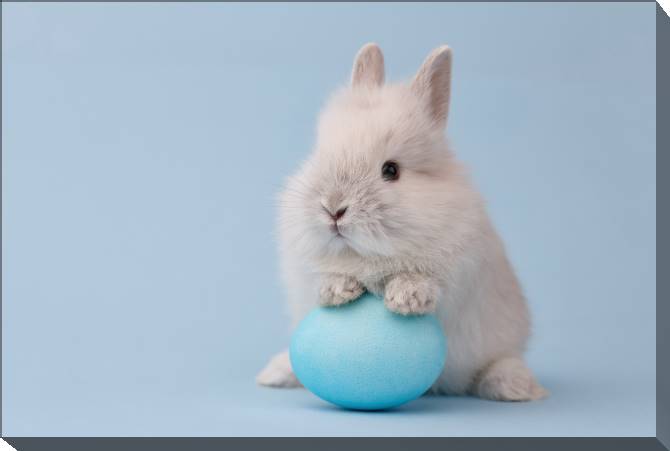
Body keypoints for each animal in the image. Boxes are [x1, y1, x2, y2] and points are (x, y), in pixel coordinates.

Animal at [256, 43, 547, 401]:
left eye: (391, 170)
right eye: (320, 155)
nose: (333, 209)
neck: (367, 257)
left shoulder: (459, 273)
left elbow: (426, 283)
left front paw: (406, 298)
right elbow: (324, 279)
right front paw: (338, 289)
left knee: (494, 365)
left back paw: (518, 386)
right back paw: (274, 373)